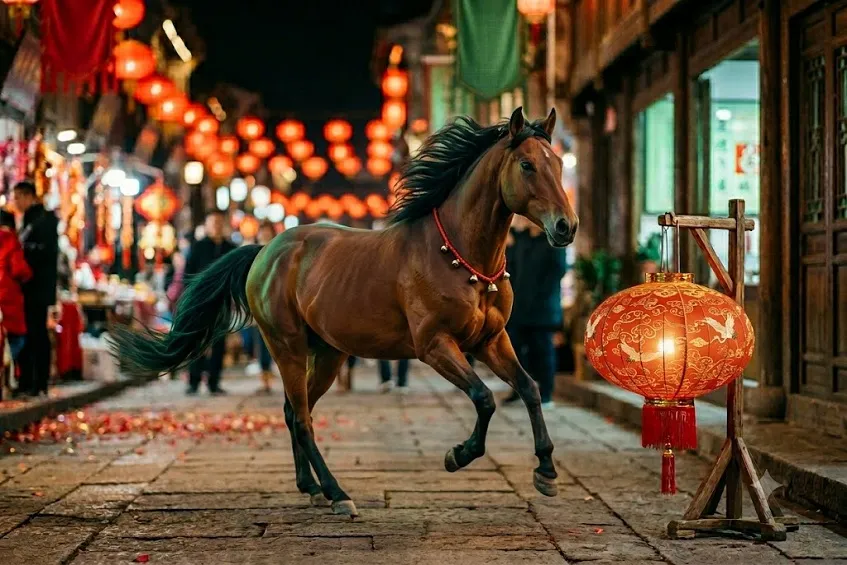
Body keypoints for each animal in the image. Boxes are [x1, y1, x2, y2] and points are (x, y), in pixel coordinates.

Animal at [111, 107, 578, 518]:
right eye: (527, 165)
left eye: (557, 163)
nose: (566, 226)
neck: (460, 258)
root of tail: (266, 250)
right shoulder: (434, 345)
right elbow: (483, 397)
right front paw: (457, 455)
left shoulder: (490, 340)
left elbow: (530, 387)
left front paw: (547, 471)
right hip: (287, 345)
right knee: (301, 418)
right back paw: (337, 494)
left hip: (329, 352)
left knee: (294, 412)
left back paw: (311, 487)